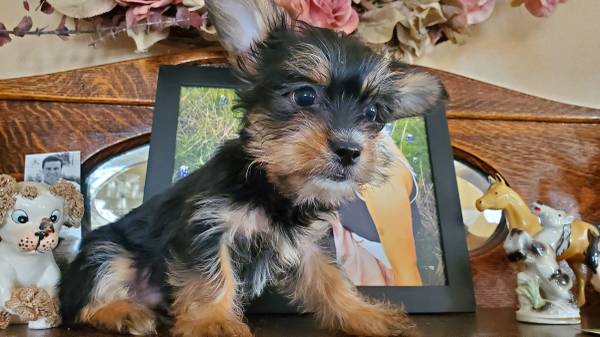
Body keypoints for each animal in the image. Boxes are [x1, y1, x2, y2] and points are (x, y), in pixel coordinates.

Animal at [58, 1, 448, 334]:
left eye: (372, 114)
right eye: (305, 95)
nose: (350, 150)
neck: (273, 186)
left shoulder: (307, 246)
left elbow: (332, 280)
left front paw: (363, 314)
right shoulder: (207, 227)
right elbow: (211, 276)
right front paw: (213, 322)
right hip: (106, 252)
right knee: (84, 302)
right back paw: (124, 312)